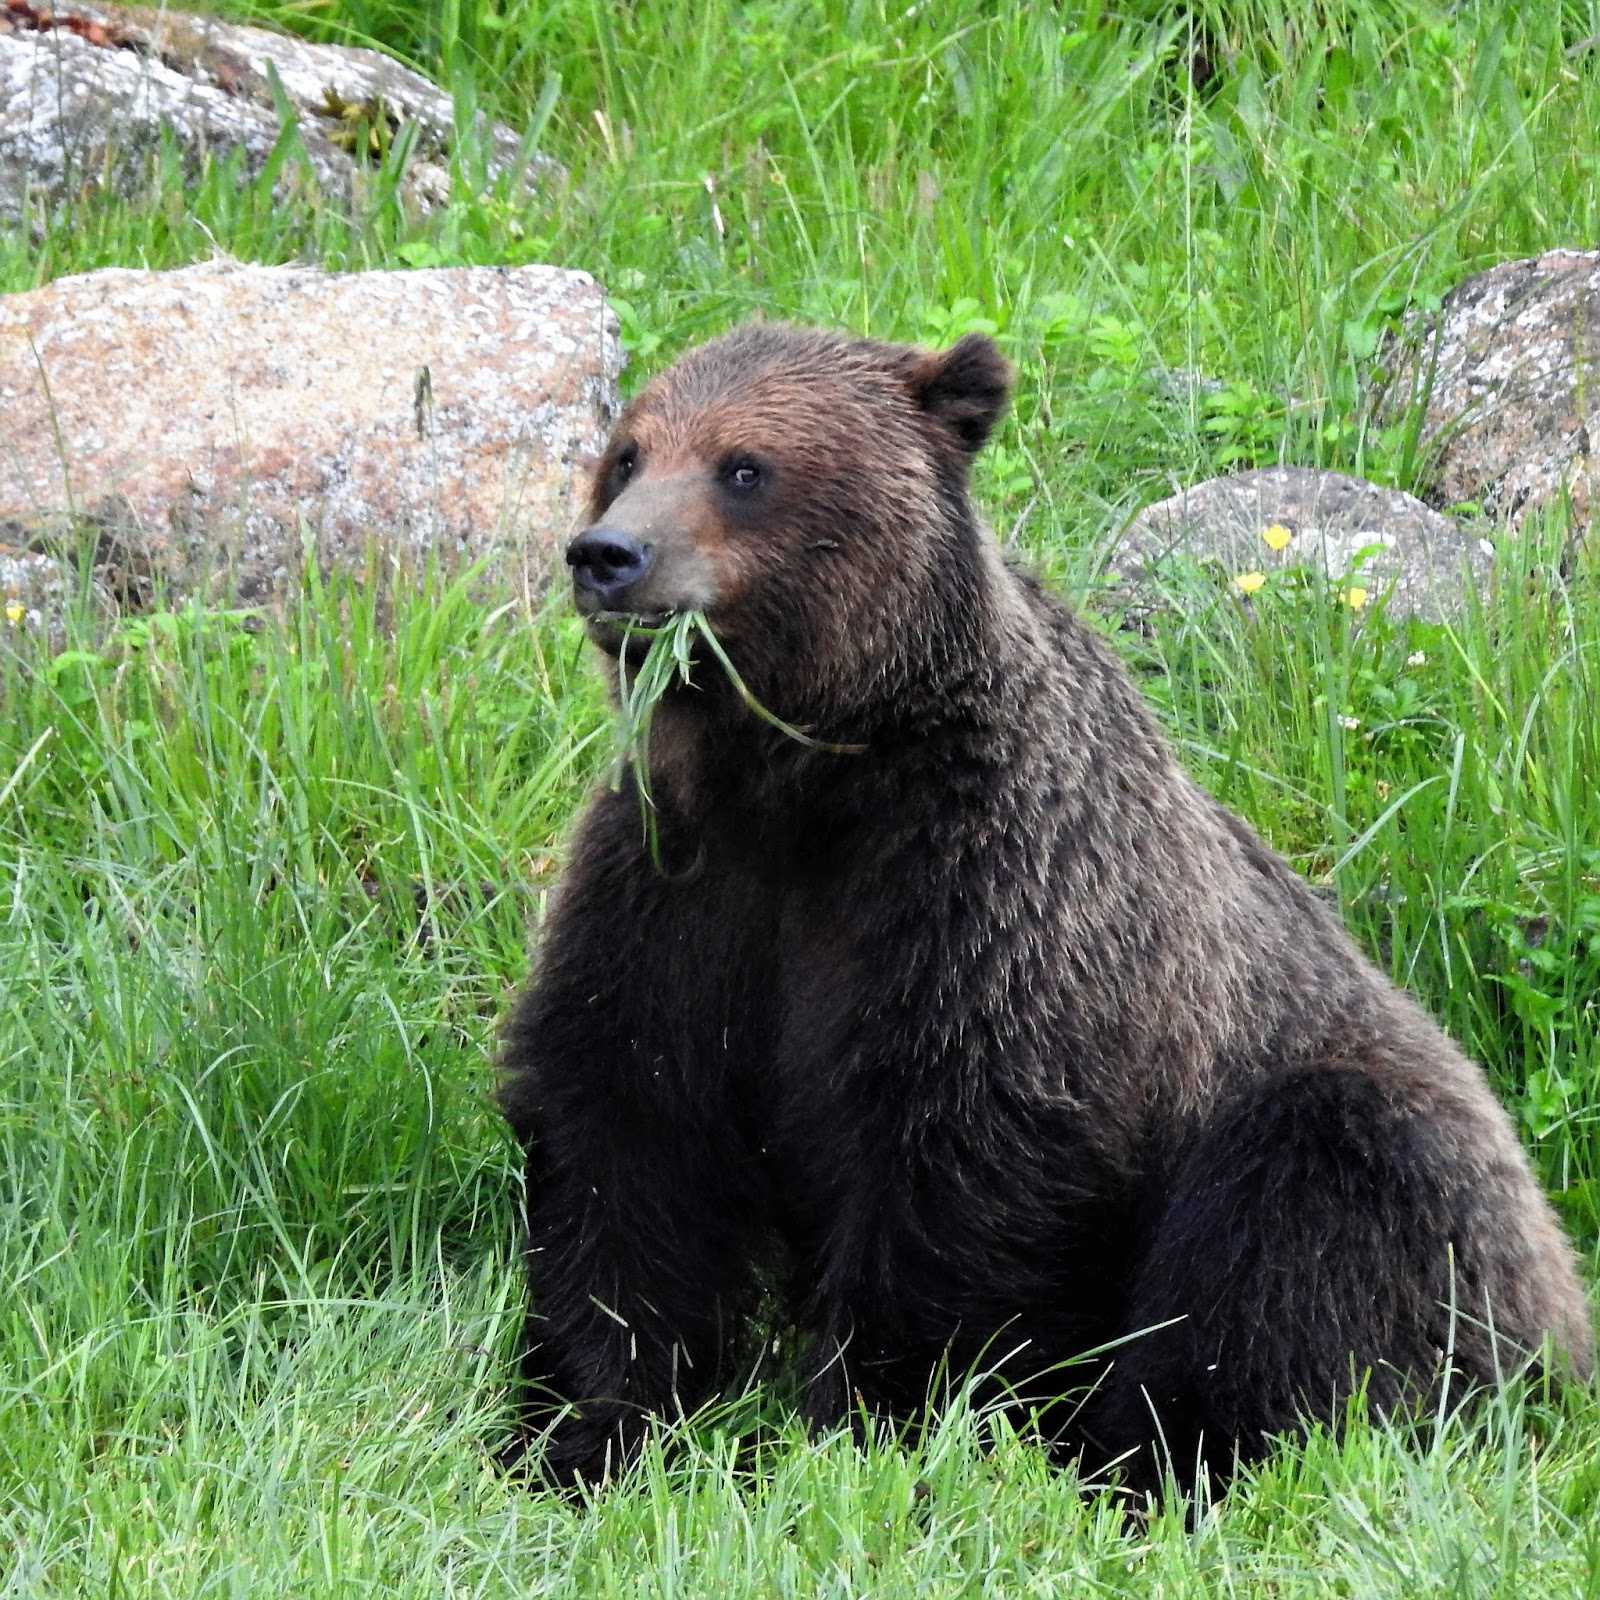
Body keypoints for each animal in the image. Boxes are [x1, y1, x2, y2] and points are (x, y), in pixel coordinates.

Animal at [497, 321, 1593, 1496]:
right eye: (628, 452)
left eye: (744, 467)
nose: (607, 555)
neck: (808, 779)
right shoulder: (681, 889)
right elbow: (625, 1135)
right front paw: (582, 1426)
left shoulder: (990, 899)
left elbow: (959, 1166)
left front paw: (869, 1426)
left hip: (1383, 1160)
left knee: (1301, 1233)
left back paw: (1150, 1461)